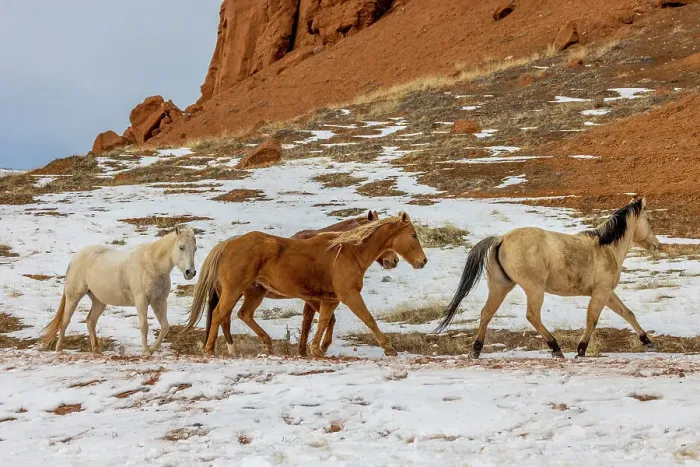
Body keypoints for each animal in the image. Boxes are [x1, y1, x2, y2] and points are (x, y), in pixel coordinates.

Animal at [39, 226, 197, 356]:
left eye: (195, 249)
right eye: (181, 247)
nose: (190, 272)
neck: (152, 266)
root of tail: (75, 258)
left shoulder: (159, 302)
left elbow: (165, 327)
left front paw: (152, 349)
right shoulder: (141, 301)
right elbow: (144, 326)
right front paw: (146, 352)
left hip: (99, 301)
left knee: (90, 321)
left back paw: (96, 350)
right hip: (73, 297)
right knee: (65, 321)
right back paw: (59, 350)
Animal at [185, 212, 427, 357]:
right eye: (413, 235)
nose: (422, 261)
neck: (347, 252)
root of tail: (228, 244)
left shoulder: (329, 299)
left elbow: (322, 322)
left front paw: (315, 349)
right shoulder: (349, 295)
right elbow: (367, 319)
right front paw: (389, 348)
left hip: (253, 293)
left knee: (241, 315)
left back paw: (263, 344)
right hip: (234, 290)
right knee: (220, 315)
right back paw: (211, 350)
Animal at [436, 197, 659, 359]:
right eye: (648, 220)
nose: (656, 245)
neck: (606, 248)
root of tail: (501, 239)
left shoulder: (608, 293)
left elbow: (627, 313)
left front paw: (647, 341)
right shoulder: (601, 292)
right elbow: (592, 319)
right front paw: (581, 350)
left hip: (501, 286)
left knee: (486, 313)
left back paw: (476, 350)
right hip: (534, 288)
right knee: (532, 315)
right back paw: (555, 348)